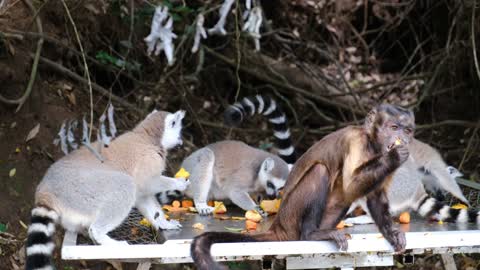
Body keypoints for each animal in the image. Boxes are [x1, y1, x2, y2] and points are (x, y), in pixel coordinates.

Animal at [191, 104, 416, 270]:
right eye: (393, 128)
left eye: (407, 130)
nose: (403, 139)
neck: (372, 144)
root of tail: (279, 225)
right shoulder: (357, 142)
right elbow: (351, 185)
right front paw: (393, 157)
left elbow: (375, 196)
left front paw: (391, 233)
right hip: (291, 216)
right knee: (320, 171)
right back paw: (311, 234)